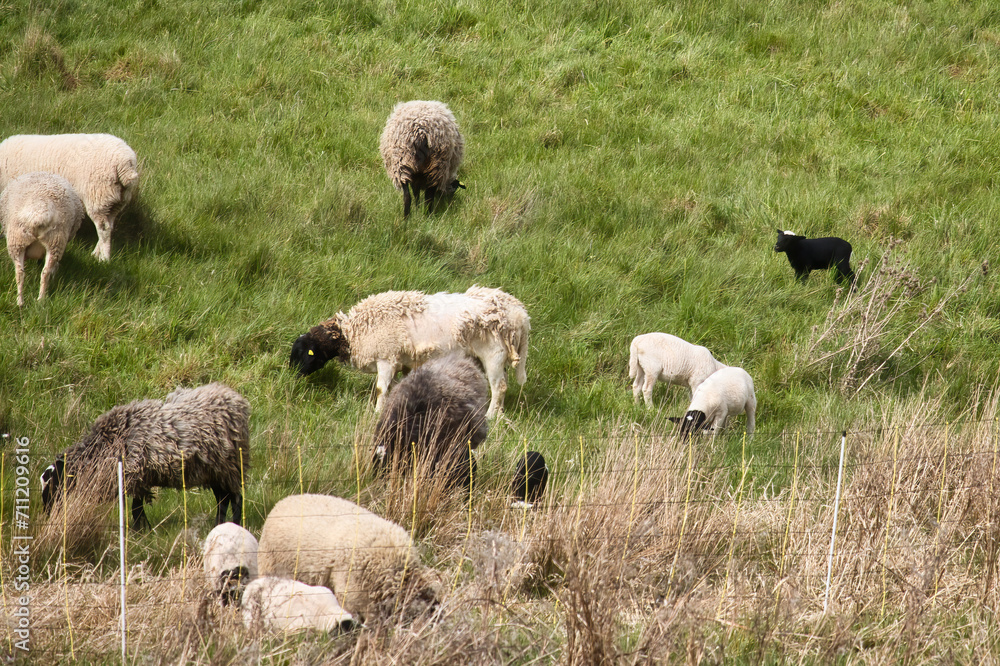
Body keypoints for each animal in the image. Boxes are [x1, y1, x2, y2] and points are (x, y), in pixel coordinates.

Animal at [0, 133, 139, 262]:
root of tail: (126, 164)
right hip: (115, 201)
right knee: (109, 226)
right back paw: (97, 253)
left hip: (98, 195)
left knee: (103, 228)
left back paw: (104, 258)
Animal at [0, 171, 85, 306]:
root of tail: (39, 211)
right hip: (53, 241)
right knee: (43, 272)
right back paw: (37, 299)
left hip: (19, 240)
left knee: (22, 272)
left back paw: (24, 301)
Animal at [40, 383, 251, 531]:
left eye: (53, 482)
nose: (46, 515)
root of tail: (235, 398)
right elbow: (137, 507)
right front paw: (143, 529)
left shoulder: (136, 476)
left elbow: (136, 507)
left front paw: (139, 530)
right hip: (214, 470)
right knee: (223, 499)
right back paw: (219, 524)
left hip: (228, 466)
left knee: (236, 498)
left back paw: (235, 524)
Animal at [289, 285, 530, 419]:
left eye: (304, 354)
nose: (292, 378)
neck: (352, 333)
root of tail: (520, 315)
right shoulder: (402, 362)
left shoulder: (386, 357)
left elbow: (381, 389)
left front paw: (377, 412)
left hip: (494, 355)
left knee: (499, 387)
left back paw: (491, 416)